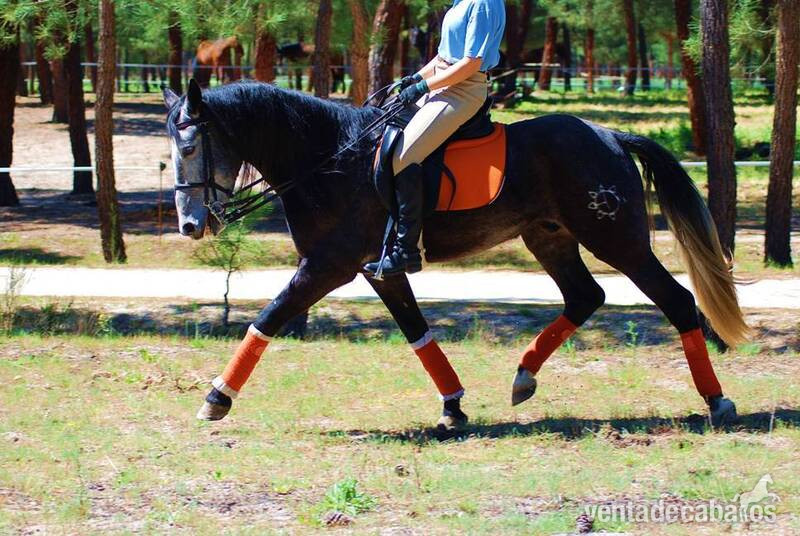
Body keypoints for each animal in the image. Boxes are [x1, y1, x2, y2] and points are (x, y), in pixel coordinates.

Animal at [162, 79, 747, 430]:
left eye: (189, 147)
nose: (191, 226)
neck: (328, 159)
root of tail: (609, 134)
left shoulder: (328, 265)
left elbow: (267, 317)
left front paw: (216, 397)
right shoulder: (380, 271)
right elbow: (417, 332)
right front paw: (453, 406)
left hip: (617, 239)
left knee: (677, 301)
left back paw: (718, 400)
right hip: (549, 236)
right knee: (585, 296)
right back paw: (524, 376)